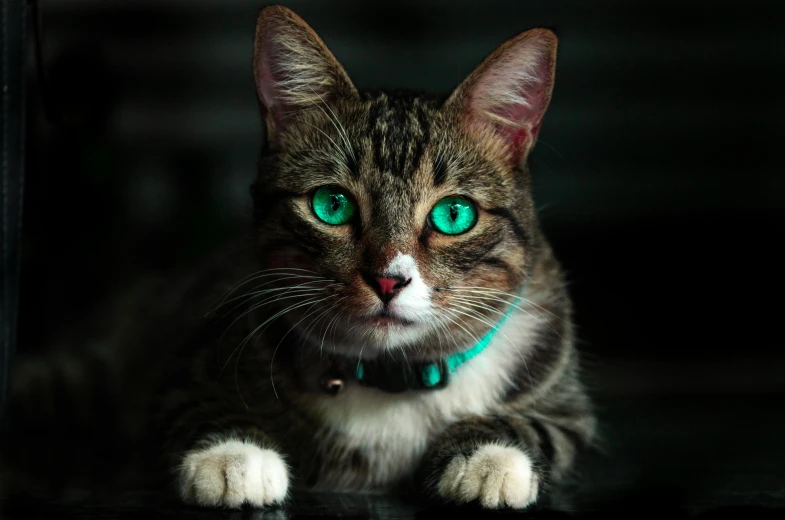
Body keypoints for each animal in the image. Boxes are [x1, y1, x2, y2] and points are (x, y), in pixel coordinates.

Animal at [0, 1, 596, 512]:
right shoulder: (187, 367)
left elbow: (539, 426)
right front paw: (234, 456)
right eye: (331, 205)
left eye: (454, 215)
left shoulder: (567, 405)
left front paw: (490, 459)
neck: (390, 379)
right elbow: (193, 404)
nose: (388, 280)